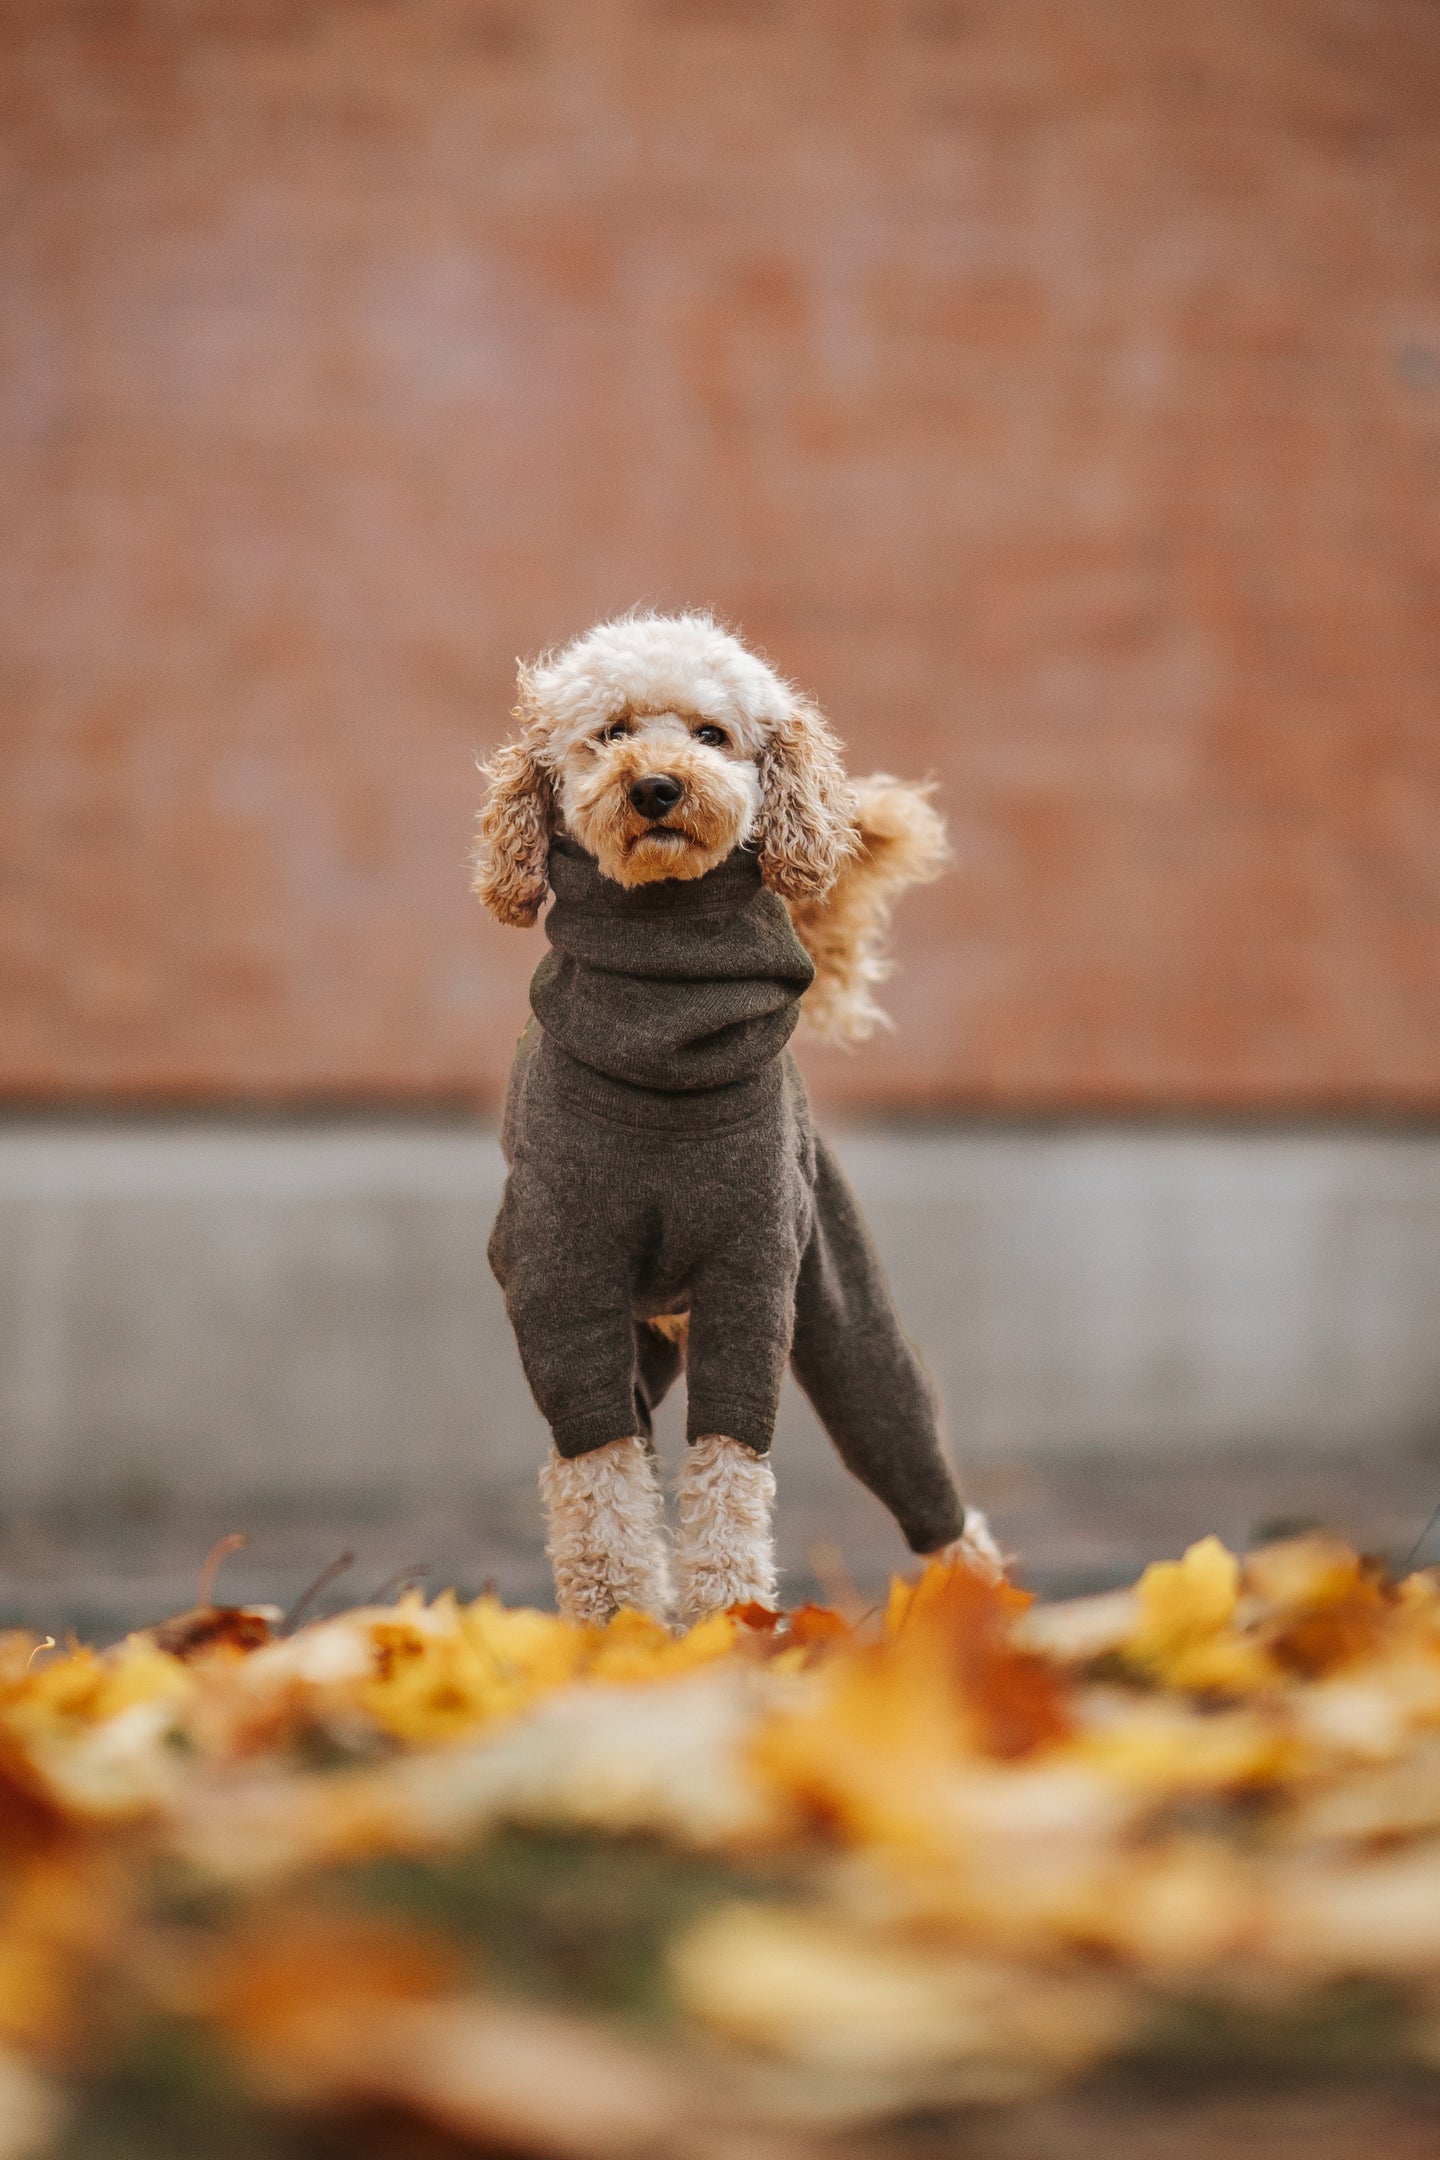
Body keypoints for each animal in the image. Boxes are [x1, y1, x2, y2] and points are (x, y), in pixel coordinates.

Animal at [474, 609, 1001, 1624]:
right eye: (610, 732)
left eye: (712, 734)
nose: (656, 785)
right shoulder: (563, 1275)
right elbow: (598, 1471)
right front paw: (620, 1629)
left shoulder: (755, 1265)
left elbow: (728, 1463)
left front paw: (734, 1622)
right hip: (645, 1330)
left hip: (842, 1301)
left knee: (912, 1451)